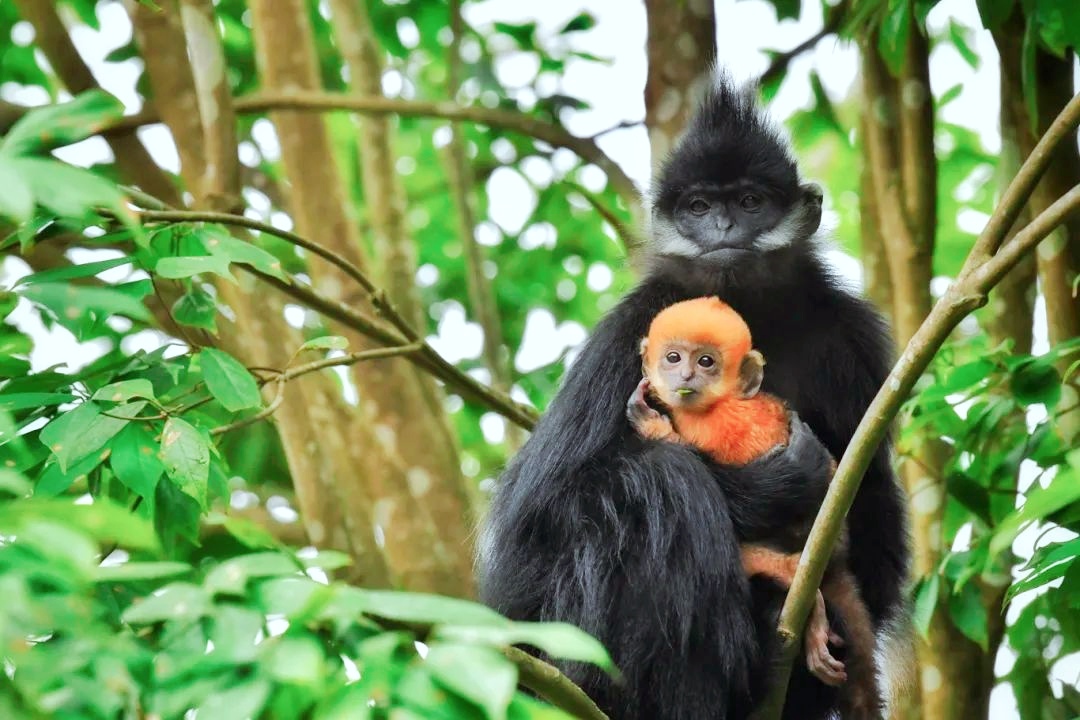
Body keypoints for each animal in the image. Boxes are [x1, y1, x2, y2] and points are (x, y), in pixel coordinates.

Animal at [625, 296, 884, 719]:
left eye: (707, 362)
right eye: (673, 357)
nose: (686, 375)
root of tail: (834, 560)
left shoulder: (719, 423)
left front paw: (651, 424)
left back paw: (802, 594)